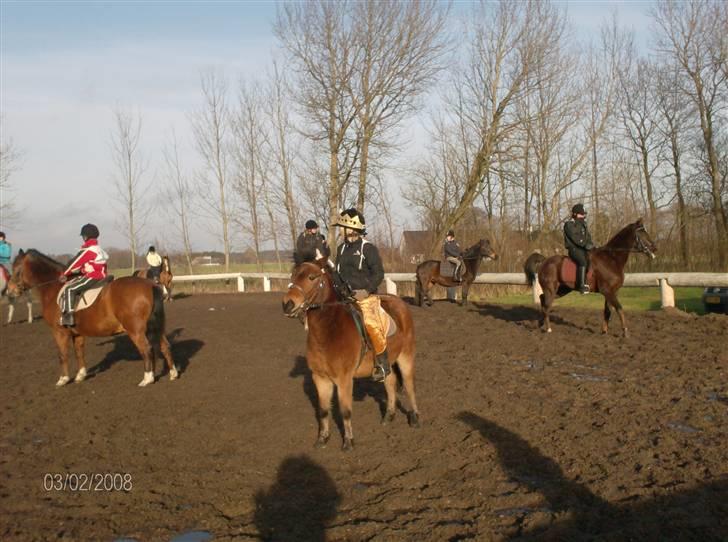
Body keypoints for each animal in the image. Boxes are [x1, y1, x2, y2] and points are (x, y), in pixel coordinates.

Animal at [7, 250, 179, 386]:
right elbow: (79, 352)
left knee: (146, 349)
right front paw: (80, 375)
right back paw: (173, 373)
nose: (10, 291)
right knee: (165, 346)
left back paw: (147, 379)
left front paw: (63, 379)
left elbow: (62, 354)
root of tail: (151, 285)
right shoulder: (77, 333)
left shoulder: (59, 332)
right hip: (155, 327)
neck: (53, 289)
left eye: (16, 270)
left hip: (135, 331)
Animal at [284, 262, 420, 452]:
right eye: (293, 275)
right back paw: (389, 415)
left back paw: (414, 418)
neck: (329, 331)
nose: (287, 304)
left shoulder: (344, 379)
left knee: (409, 385)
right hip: (389, 361)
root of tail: (400, 303)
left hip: (406, 356)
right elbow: (323, 410)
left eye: (311, 277)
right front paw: (322, 438)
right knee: (390, 382)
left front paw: (348, 441)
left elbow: (345, 411)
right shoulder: (320, 378)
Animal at [528, 219, 656, 338]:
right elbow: (619, 308)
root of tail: (545, 261)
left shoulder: (612, 292)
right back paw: (549, 329)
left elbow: (607, 311)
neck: (611, 259)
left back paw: (540, 323)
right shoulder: (608, 291)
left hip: (562, 290)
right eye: (642, 233)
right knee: (547, 305)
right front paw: (625, 331)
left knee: (543, 299)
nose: (654, 248)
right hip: (551, 289)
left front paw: (604, 332)